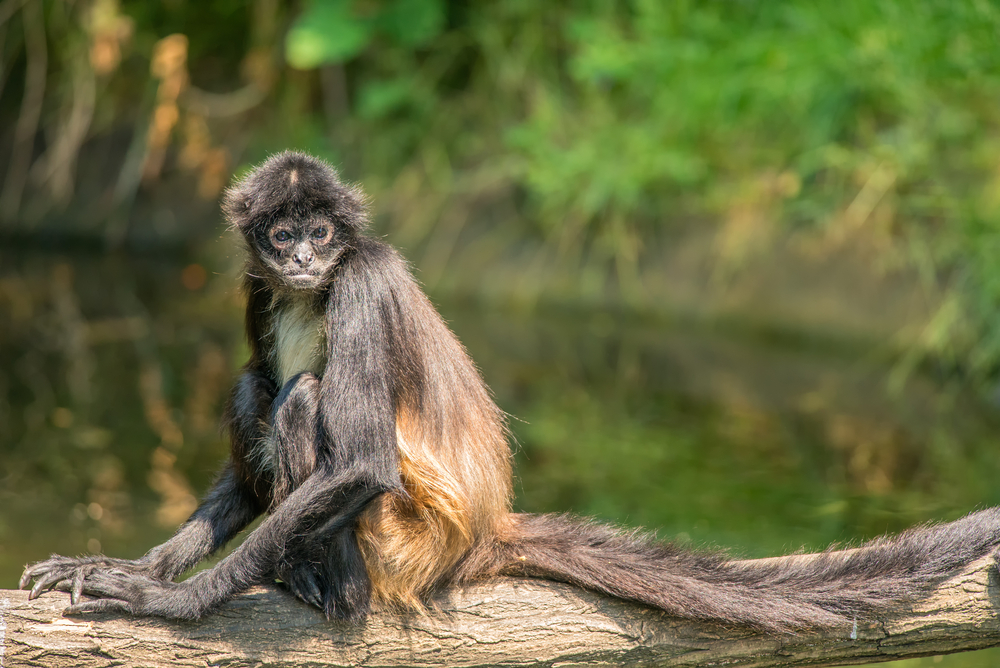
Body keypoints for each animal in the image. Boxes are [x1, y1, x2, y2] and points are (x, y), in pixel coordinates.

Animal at [20, 151, 1000, 632]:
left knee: (296, 397)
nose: (301, 258)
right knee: (257, 386)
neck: (312, 288)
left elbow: (363, 460)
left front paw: (171, 600)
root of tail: (484, 527)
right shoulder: (256, 289)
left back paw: (331, 595)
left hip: (404, 540)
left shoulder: (363, 275)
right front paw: (134, 566)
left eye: (322, 232)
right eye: (281, 233)